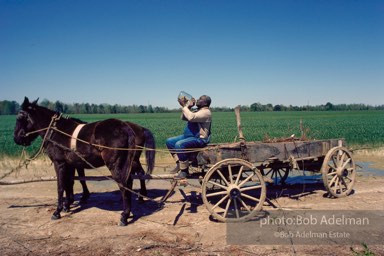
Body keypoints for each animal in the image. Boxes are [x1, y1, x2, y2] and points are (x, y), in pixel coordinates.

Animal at [13, 97, 154, 225]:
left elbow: (61, 186)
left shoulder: (60, 163)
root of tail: (126, 127)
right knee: (132, 180)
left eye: (19, 117)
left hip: (117, 165)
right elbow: (69, 183)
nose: (16, 138)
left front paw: (58, 211)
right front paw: (68, 204)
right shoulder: (70, 164)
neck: (56, 131)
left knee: (125, 184)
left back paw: (125, 215)